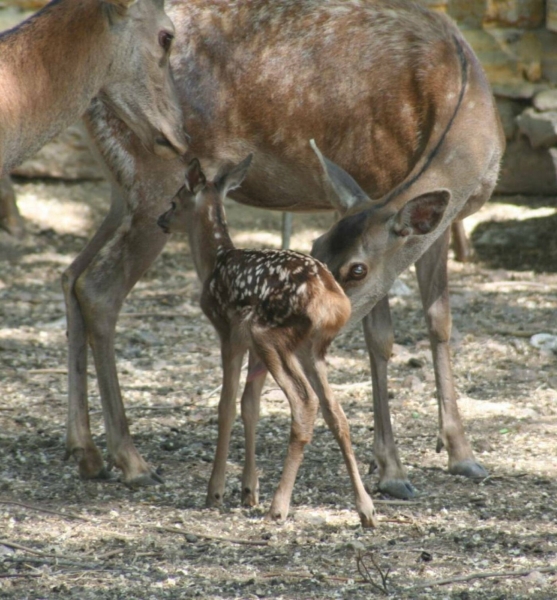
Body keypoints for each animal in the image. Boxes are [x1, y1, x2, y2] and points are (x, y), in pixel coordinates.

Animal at [57, 0, 504, 494]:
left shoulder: (441, 225)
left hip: (123, 189)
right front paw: (392, 470)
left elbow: (440, 322)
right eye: (317, 246)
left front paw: (462, 453)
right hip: (152, 179)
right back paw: (131, 460)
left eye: (352, 265)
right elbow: (381, 338)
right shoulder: (372, 175)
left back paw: (86, 452)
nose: (317, 315)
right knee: (100, 289)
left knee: (71, 274)